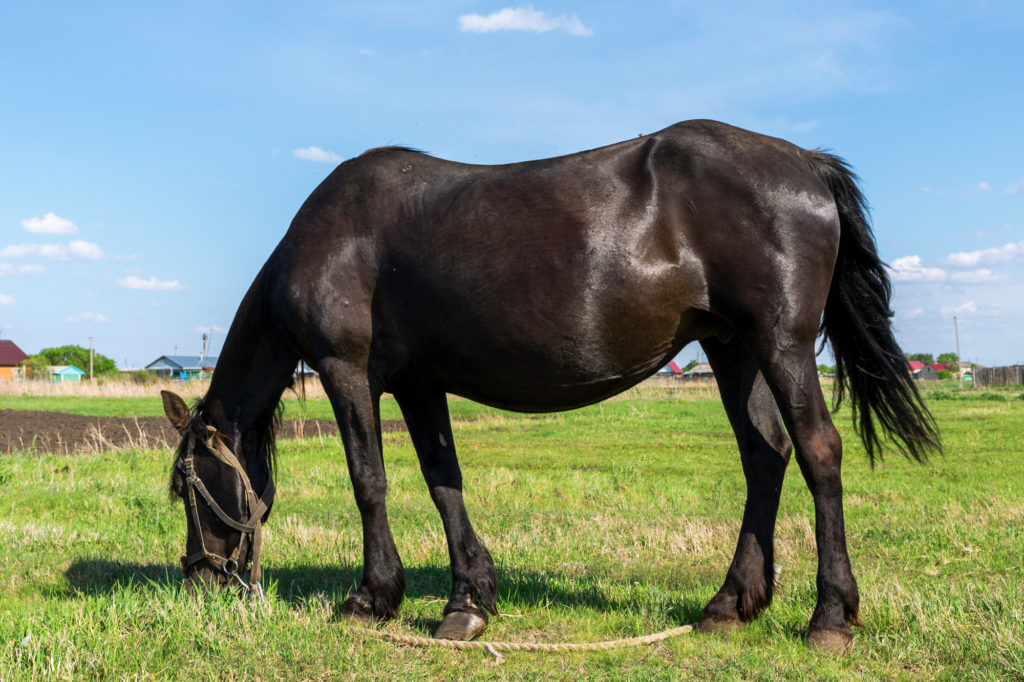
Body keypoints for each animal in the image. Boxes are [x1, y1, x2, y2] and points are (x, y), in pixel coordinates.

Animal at [161, 119, 939, 652]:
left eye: (185, 486)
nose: (197, 576)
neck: (329, 237)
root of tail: (804, 163)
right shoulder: (419, 384)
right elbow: (443, 481)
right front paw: (467, 602)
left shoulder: (345, 370)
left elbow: (369, 481)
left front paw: (372, 597)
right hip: (733, 349)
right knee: (764, 457)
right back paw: (729, 604)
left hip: (782, 344)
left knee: (818, 452)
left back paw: (829, 617)